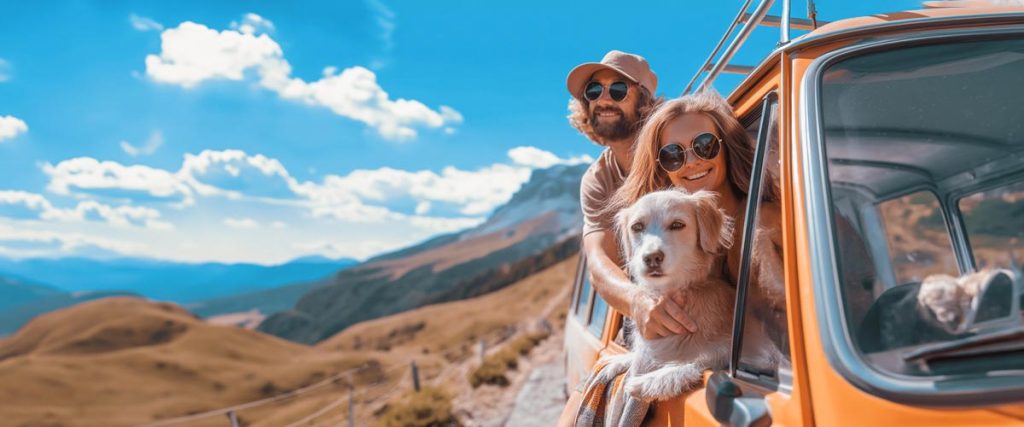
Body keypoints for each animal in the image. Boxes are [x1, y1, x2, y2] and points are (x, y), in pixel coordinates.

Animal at [598, 188, 774, 401]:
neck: (680, 292)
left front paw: (654, 380)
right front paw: (620, 360)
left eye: (677, 225)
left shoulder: (755, 353)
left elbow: (702, 359)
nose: (652, 258)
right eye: (637, 226)